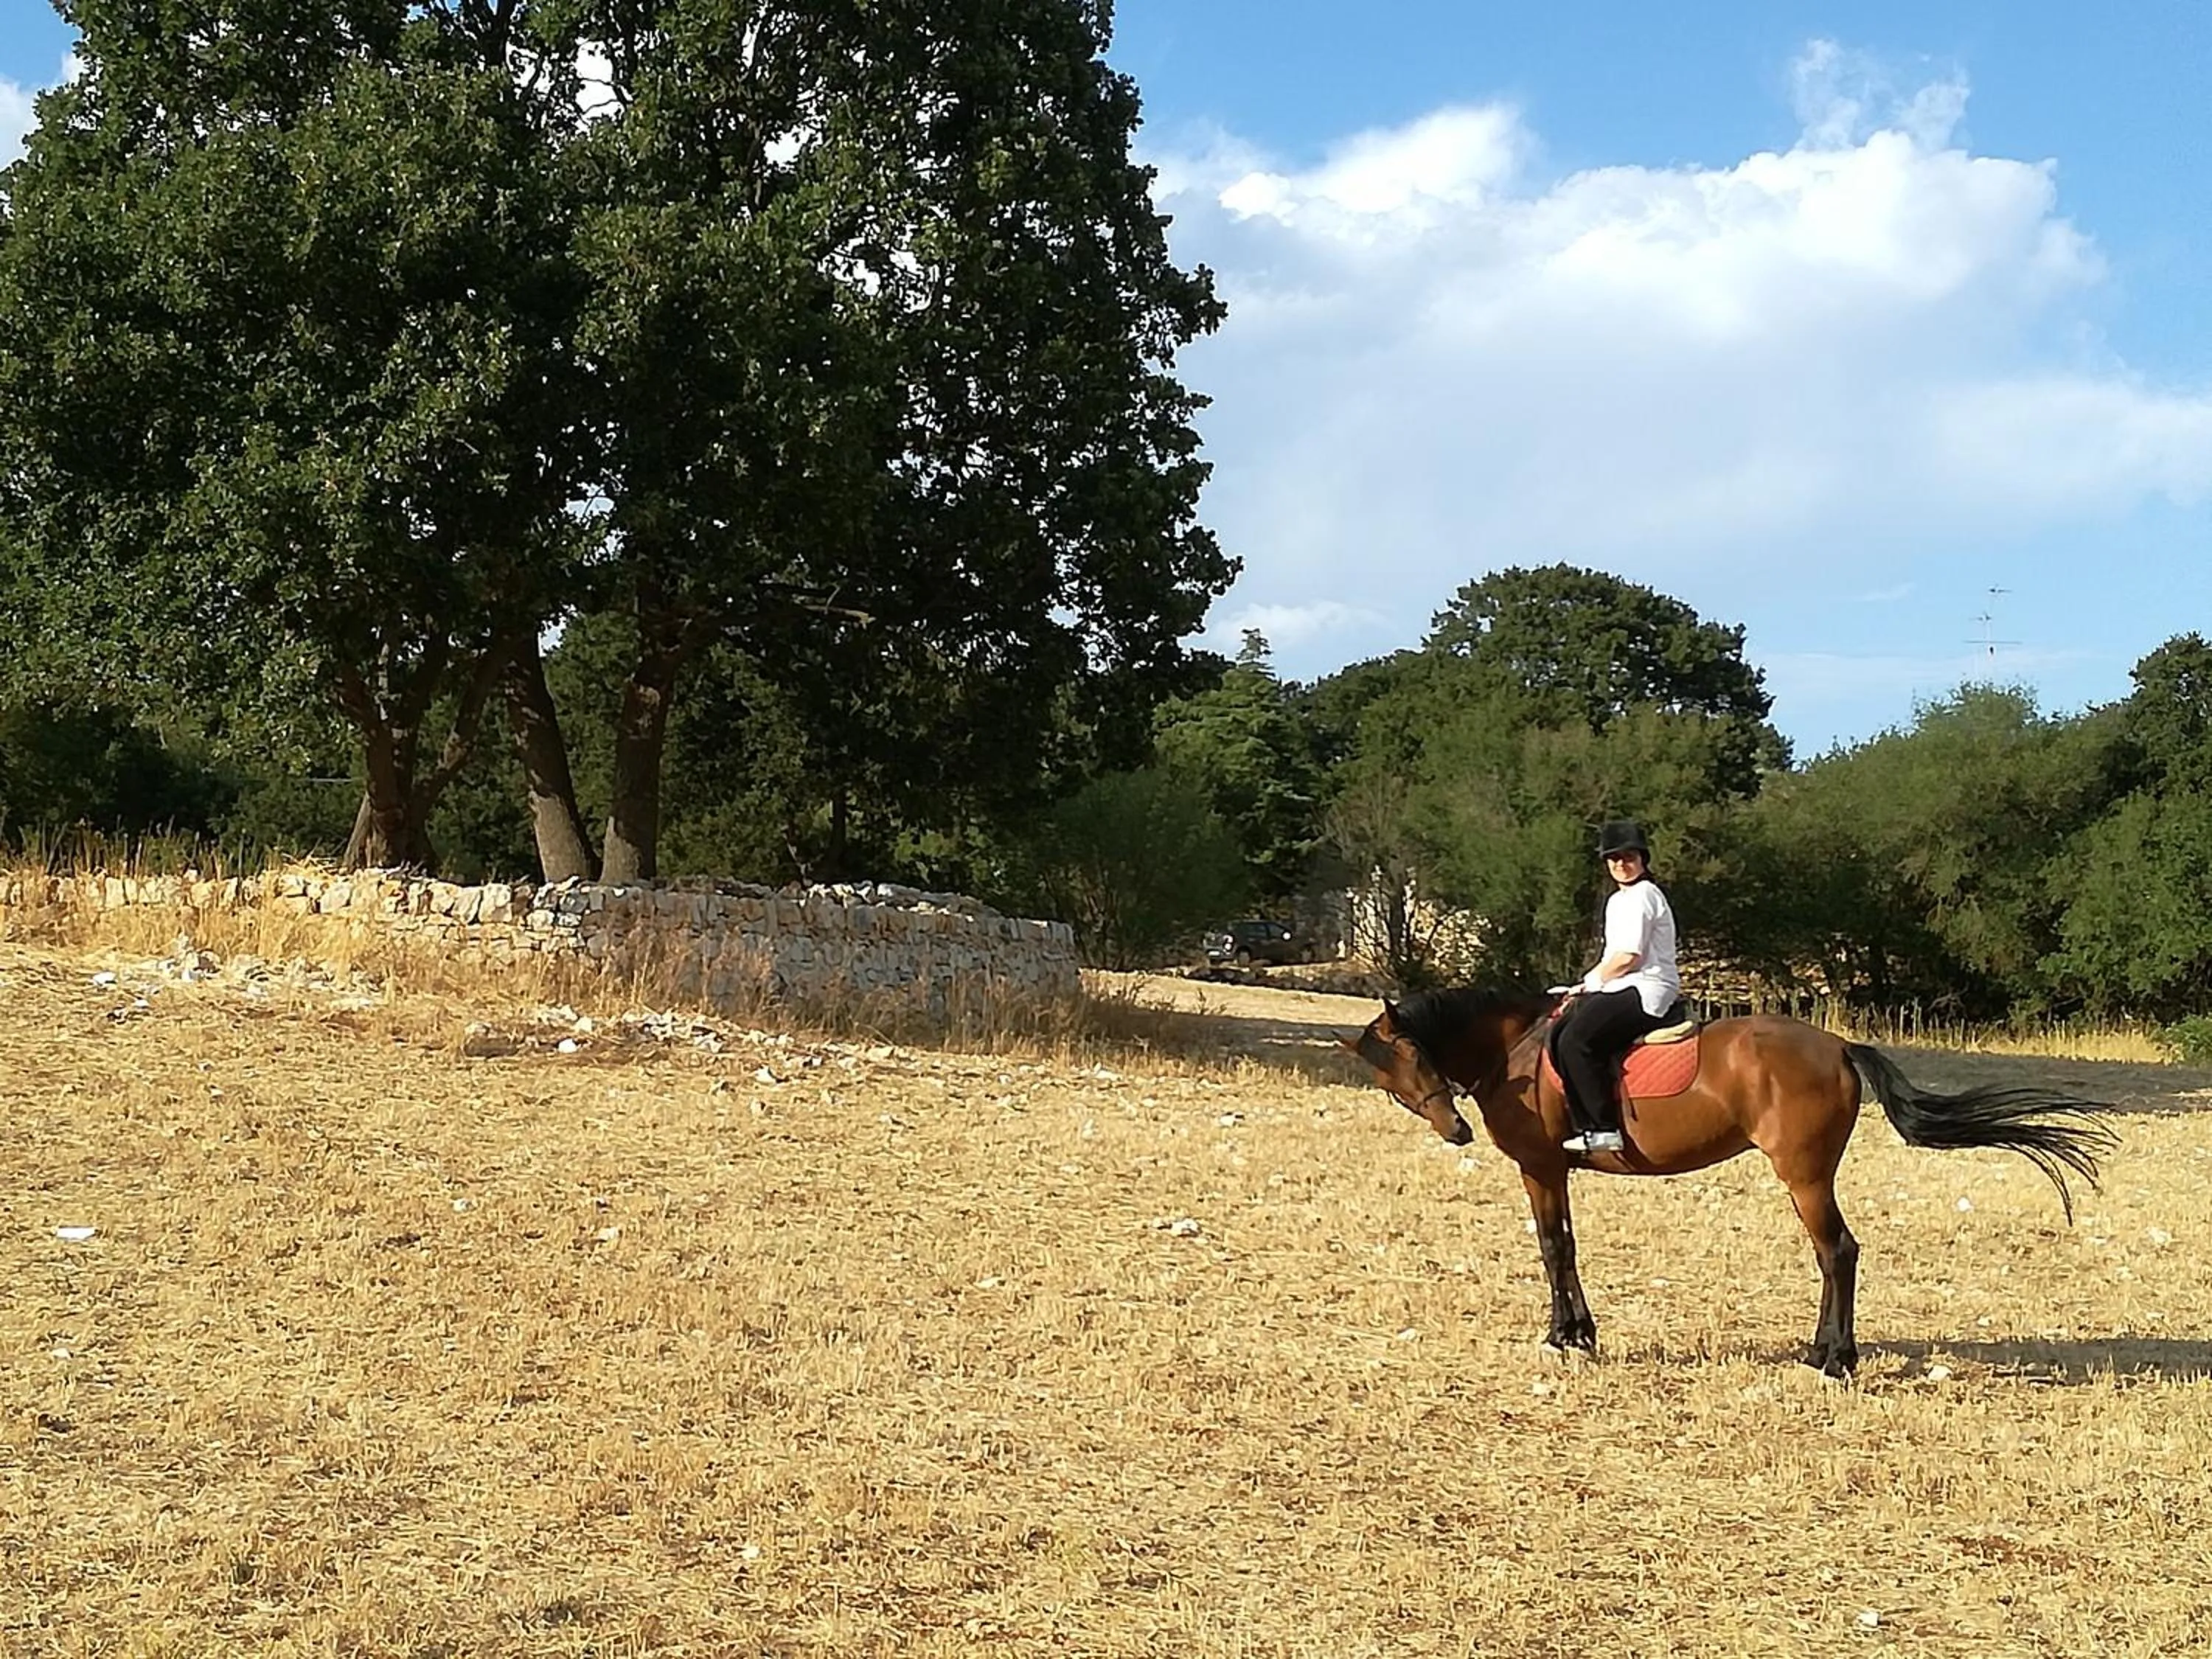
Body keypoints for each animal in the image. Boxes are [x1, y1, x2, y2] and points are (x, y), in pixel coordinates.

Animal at [1341, 988, 2118, 1376]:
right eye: (1387, 1077)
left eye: (1413, 1053)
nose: (1455, 1131)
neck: (1518, 1054)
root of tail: (1839, 1046)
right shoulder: (1549, 1172)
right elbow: (1562, 1248)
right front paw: (1577, 1334)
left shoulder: (1542, 1167)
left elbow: (1555, 1249)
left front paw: (1567, 1338)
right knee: (1833, 1256)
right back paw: (1819, 1352)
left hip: (1803, 1175)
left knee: (1838, 1252)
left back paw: (1835, 1362)